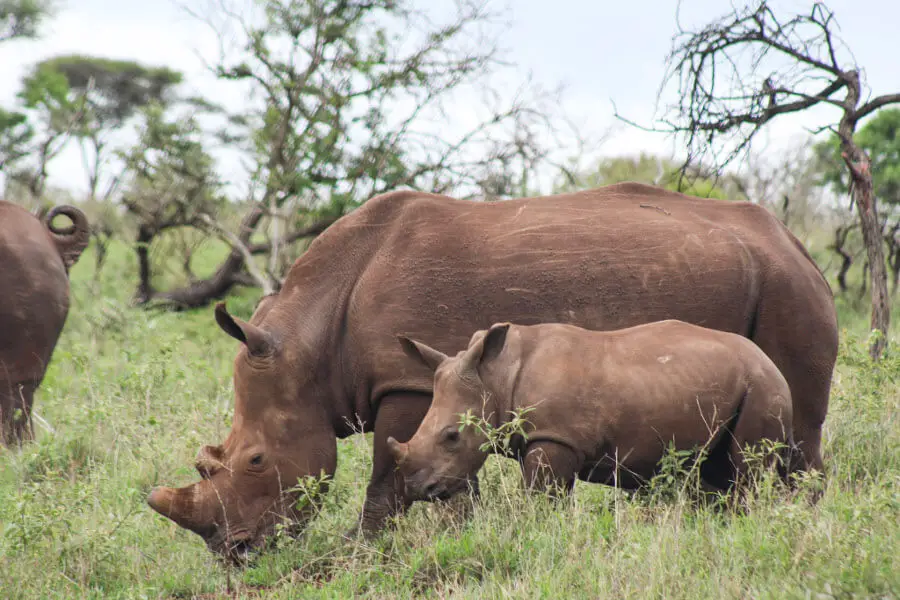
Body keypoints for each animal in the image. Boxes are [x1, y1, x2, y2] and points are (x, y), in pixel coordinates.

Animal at [386, 322, 796, 500]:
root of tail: (770, 362)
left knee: (748, 472)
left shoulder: (555, 437)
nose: (418, 490)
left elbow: (541, 501)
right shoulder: (548, 439)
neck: (496, 375)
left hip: (763, 387)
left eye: (452, 437)